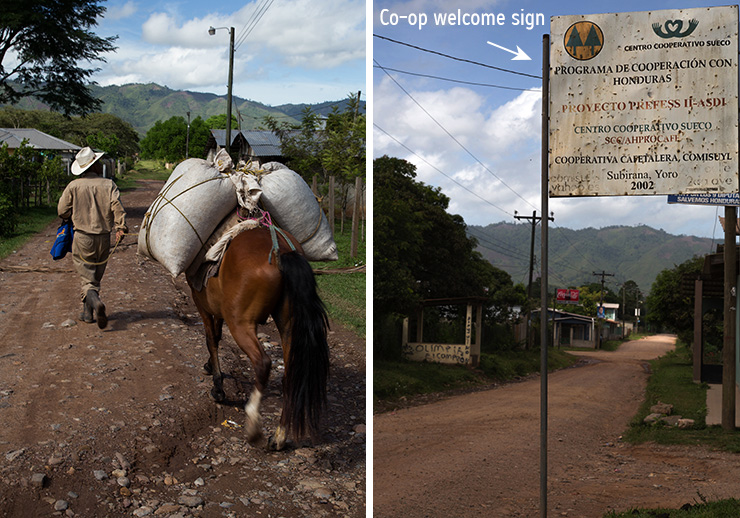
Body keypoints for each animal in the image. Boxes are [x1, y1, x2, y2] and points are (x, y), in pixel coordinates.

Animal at [188, 228, 330, 450]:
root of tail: (282, 252)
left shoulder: (201, 303)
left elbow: (211, 339)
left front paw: (218, 388)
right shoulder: (218, 307)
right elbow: (217, 335)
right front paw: (210, 365)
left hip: (240, 322)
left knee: (262, 363)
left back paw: (253, 424)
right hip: (288, 324)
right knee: (289, 375)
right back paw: (279, 437)